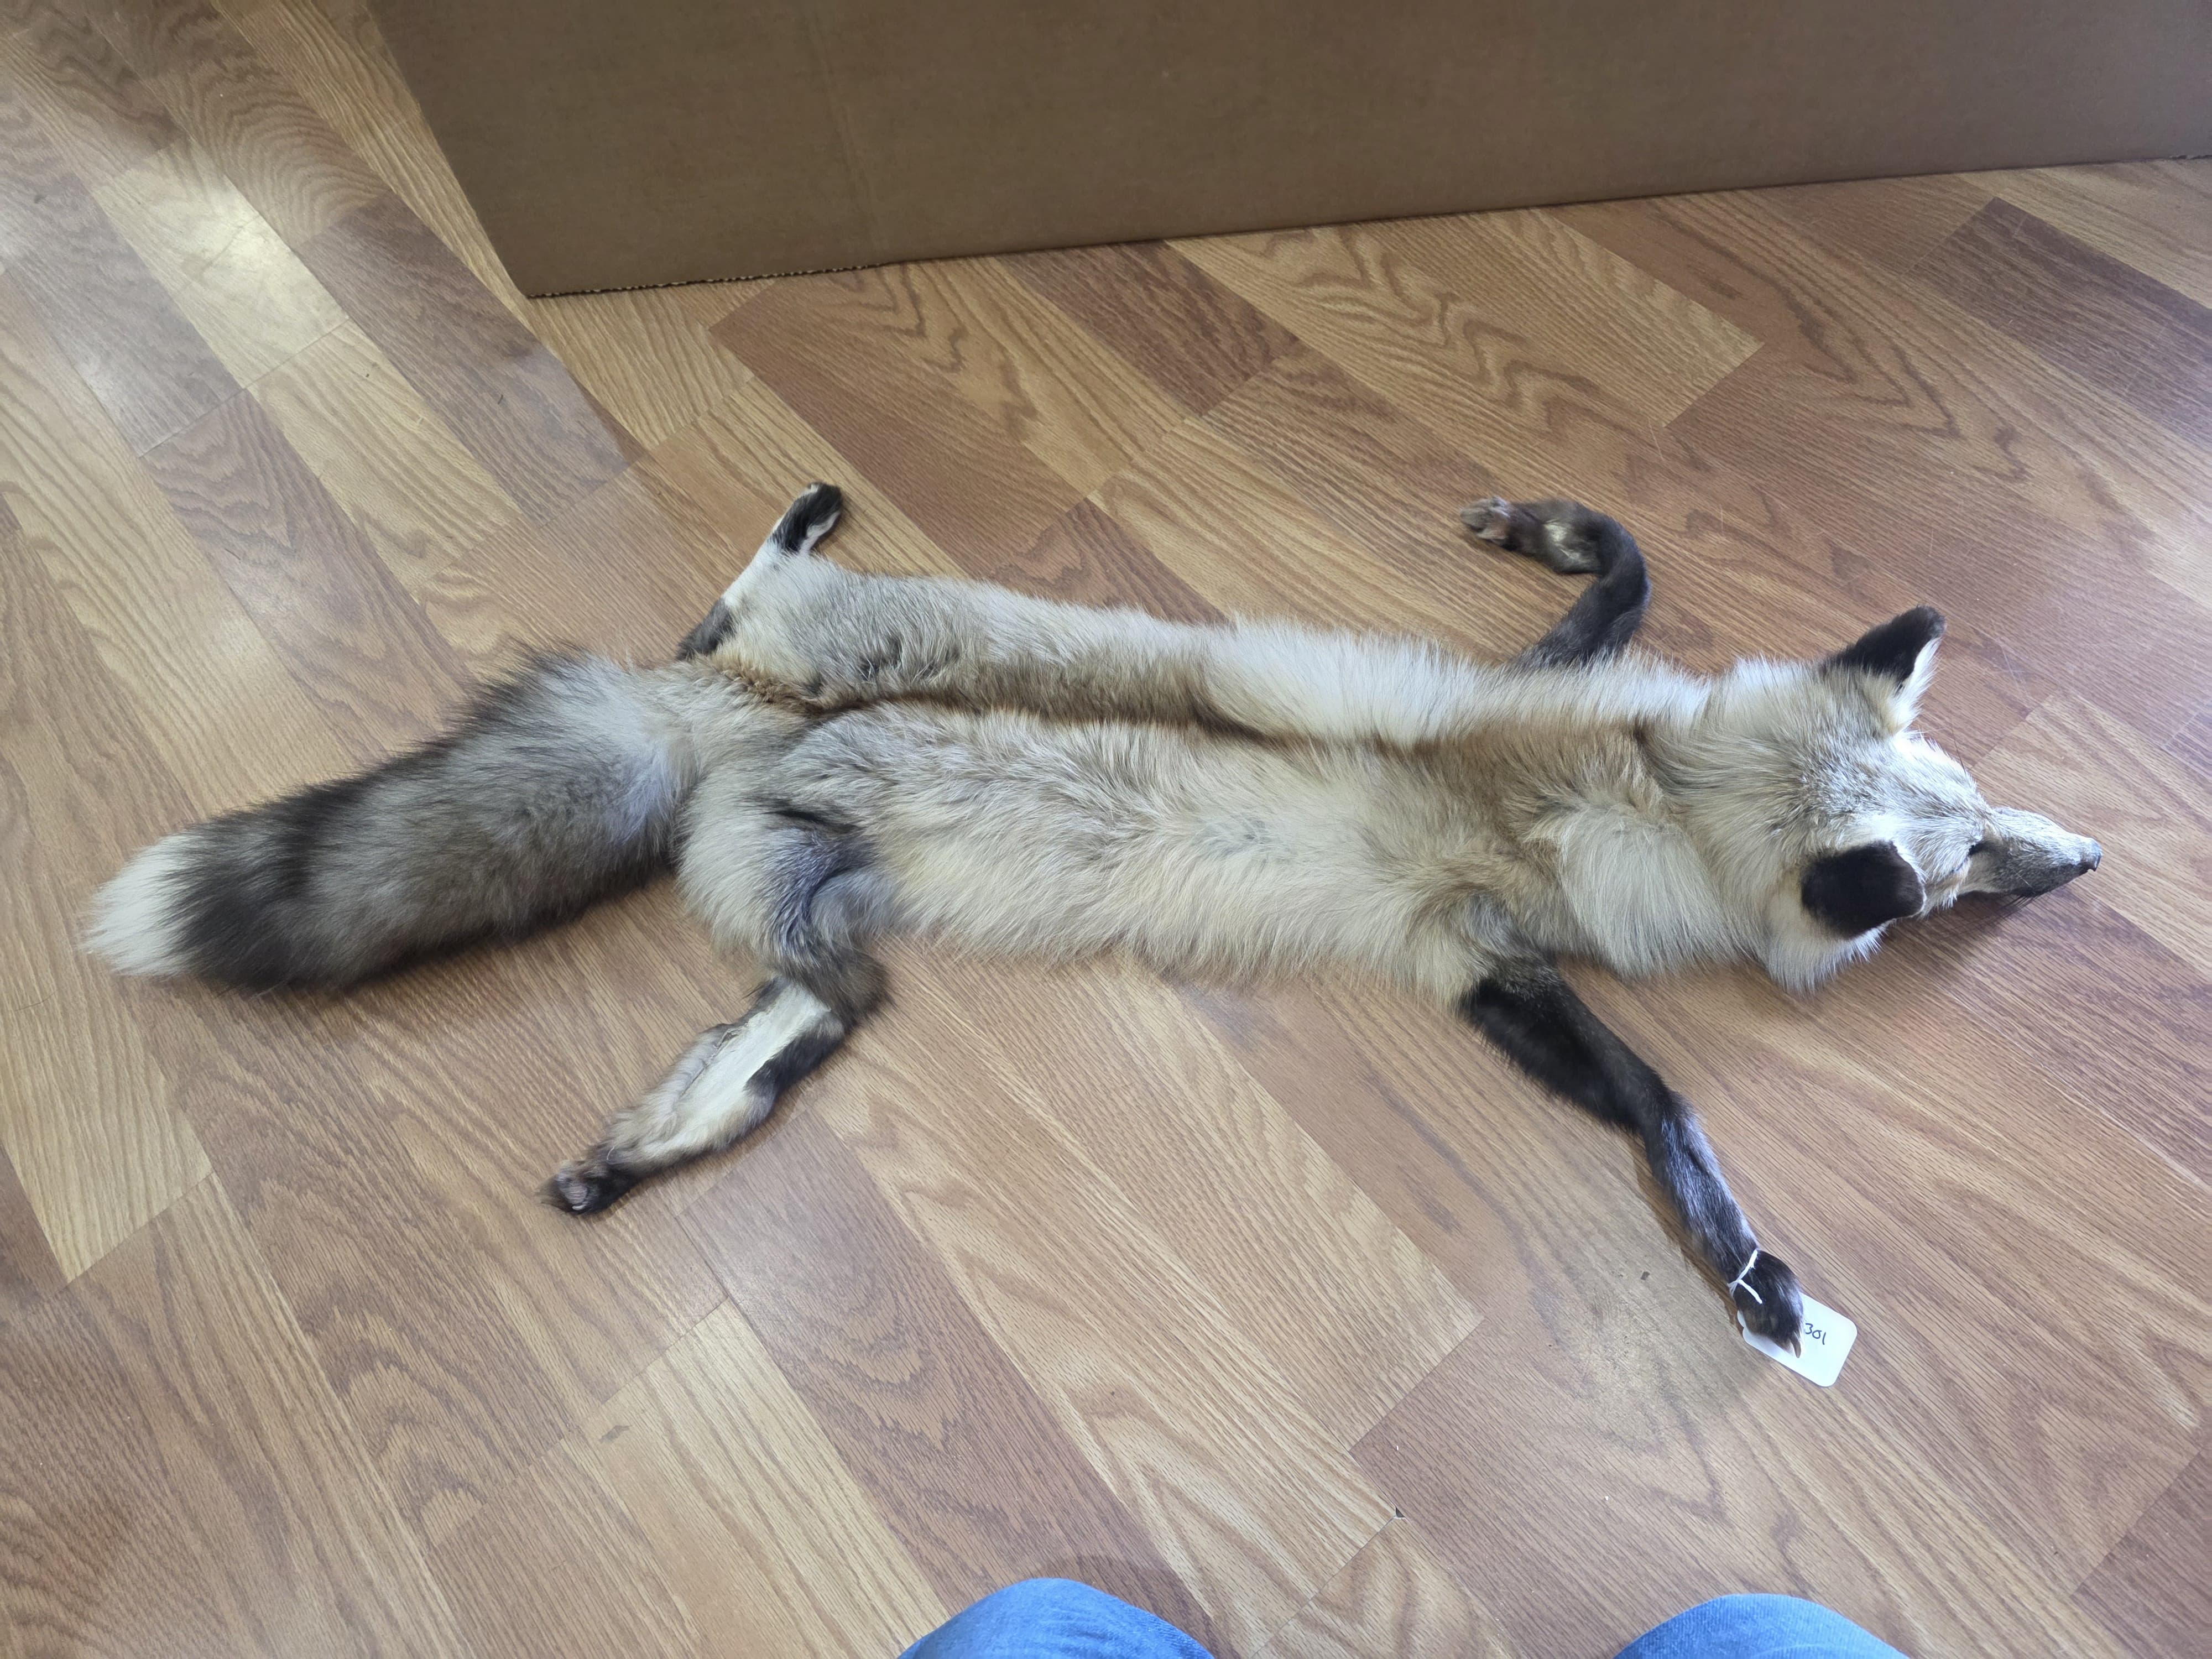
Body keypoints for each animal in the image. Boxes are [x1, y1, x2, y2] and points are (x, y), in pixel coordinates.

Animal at [85, 484, 2102, 1347]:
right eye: (1962, 865)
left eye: (1987, 808)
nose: (2078, 866)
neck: (1630, 787)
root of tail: (722, 720)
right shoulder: (1480, 950)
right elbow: (1668, 1107)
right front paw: (1737, 1255)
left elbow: (1621, 573)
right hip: (816, 662)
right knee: (730, 591)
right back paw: (798, 518)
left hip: (817, 902)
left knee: (803, 1006)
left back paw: (663, 1133)